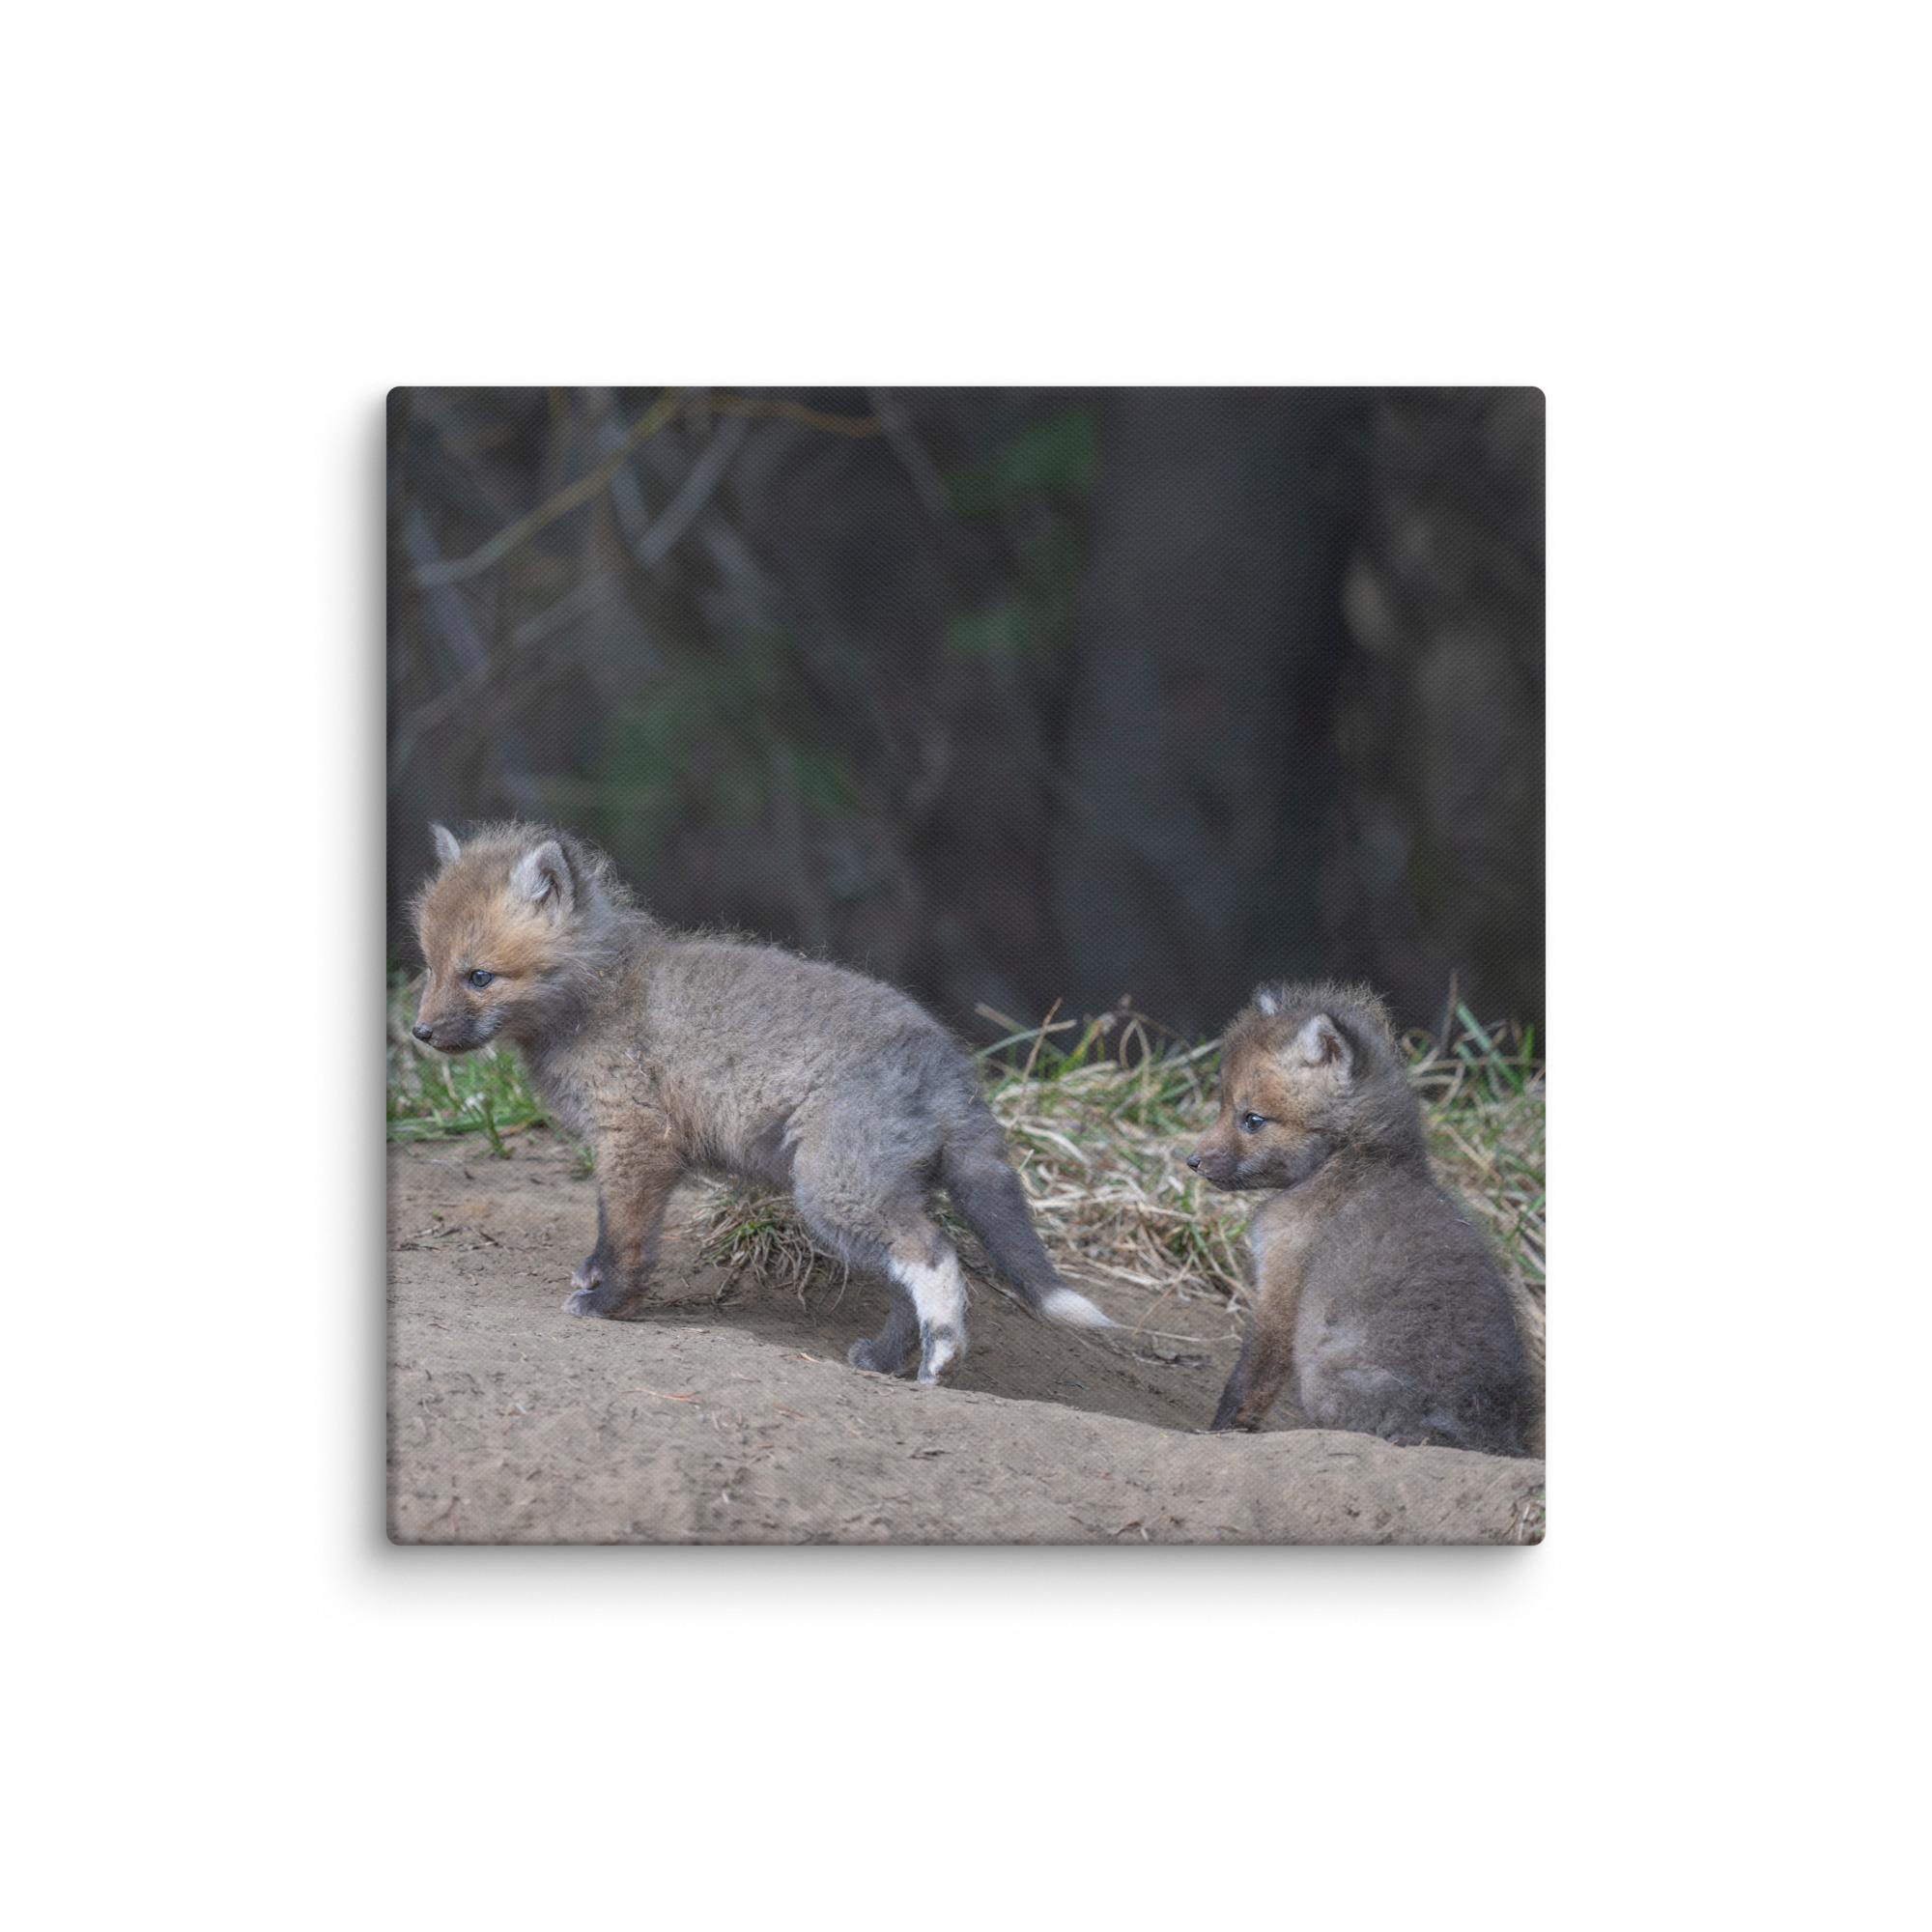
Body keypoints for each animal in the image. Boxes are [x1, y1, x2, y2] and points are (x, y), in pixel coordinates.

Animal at [409, 821, 1111, 1385]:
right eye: (430, 967)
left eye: (480, 977)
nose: (419, 1033)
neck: (599, 995)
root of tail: (951, 1066)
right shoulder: (633, 1149)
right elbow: (611, 1232)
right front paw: (596, 1279)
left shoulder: (636, 1139)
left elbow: (625, 1237)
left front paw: (608, 1304)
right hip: (866, 1197)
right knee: (904, 1282)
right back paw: (887, 1361)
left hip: (833, 1192)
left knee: (934, 1254)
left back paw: (942, 1356)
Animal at [1187, 980, 1527, 1455]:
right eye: (1222, 1106)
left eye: (1252, 1120)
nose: (1192, 1161)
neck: (1352, 1160)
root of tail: (1484, 1437)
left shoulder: (1281, 1286)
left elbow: (1248, 1381)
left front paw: (1217, 1433)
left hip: (1321, 1378)